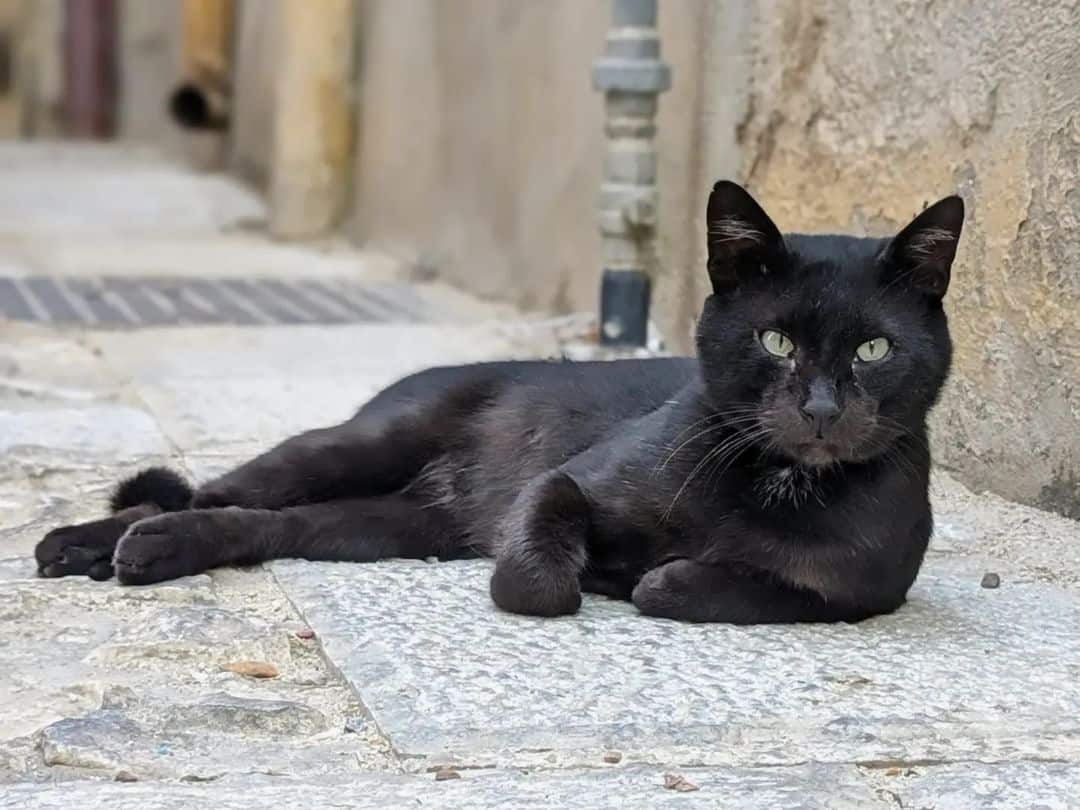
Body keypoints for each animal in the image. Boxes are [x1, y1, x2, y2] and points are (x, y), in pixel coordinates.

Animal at [35, 183, 963, 626]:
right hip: (358, 445)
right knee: (209, 492)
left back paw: (150, 551)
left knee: (264, 526)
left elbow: (708, 586)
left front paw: (654, 577)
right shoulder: (566, 483)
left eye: (873, 350)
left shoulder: (859, 594)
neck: (776, 482)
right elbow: (538, 579)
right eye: (775, 341)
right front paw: (598, 574)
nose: (820, 408)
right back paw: (91, 542)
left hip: (381, 528)